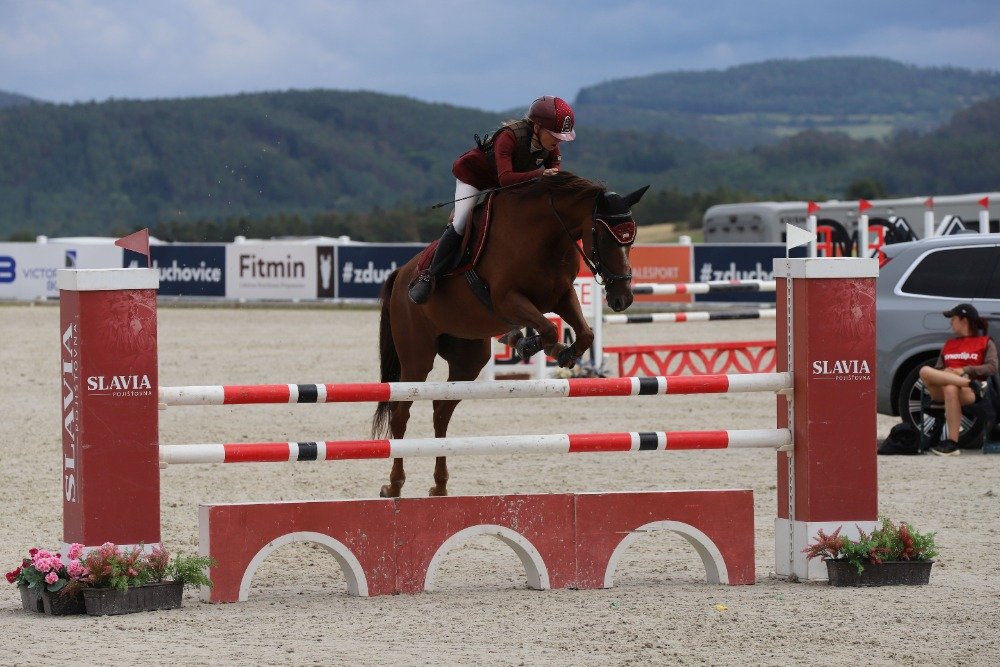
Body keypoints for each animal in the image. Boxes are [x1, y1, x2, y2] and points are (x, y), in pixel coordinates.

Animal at [372, 172, 644, 496]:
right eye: (603, 237)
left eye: (631, 240)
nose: (622, 299)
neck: (546, 235)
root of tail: (401, 274)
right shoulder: (507, 299)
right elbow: (548, 328)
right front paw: (528, 344)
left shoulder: (562, 295)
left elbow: (585, 333)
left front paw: (556, 350)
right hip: (417, 358)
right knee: (401, 412)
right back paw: (394, 485)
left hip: (468, 359)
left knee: (441, 411)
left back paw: (439, 486)